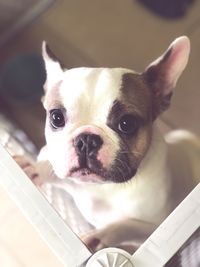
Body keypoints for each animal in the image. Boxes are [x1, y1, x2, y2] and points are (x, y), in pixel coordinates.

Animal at [14, 36, 200, 254]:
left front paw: (98, 237)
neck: (103, 188)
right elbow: (53, 170)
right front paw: (33, 167)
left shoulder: (154, 228)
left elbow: (127, 225)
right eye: (56, 117)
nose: (86, 140)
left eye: (127, 123)